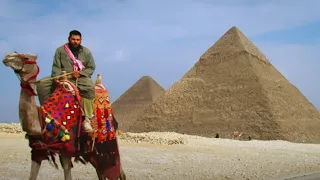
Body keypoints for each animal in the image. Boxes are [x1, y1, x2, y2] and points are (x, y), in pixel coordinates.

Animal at [3, 52, 126, 180]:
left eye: (26, 57)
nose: (8, 56)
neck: (44, 121)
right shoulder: (38, 149)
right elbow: (33, 175)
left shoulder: (67, 147)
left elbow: (67, 171)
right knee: (100, 170)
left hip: (108, 140)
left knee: (118, 171)